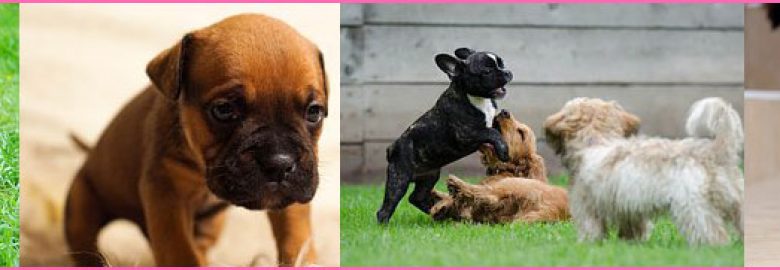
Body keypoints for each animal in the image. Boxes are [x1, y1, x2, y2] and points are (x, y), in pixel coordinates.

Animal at [62, 14, 326, 266]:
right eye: (224, 109)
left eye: (314, 112)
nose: (279, 163)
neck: (202, 171)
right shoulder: (166, 192)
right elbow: (179, 251)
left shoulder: (293, 194)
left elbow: (296, 237)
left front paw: (303, 259)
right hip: (81, 202)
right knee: (85, 244)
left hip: (212, 223)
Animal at [376, 48, 512, 224]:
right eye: (487, 71)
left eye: (502, 64)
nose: (507, 71)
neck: (478, 99)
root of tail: (392, 148)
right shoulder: (467, 135)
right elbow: (491, 132)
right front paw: (503, 151)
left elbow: (497, 128)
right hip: (399, 178)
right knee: (387, 207)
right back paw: (385, 225)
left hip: (429, 176)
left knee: (417, 197)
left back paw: (438, 212)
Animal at [430, 110, 568, 223]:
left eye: (521, 133)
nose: (504, 111)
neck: (509, 169)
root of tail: (554, 210)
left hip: (512, 185)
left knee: (488, 194)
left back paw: (455, 185)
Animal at [544, 96, 744, 245]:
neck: (596, 141)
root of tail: (715, 151)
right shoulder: (630, 209)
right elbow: (633, 229)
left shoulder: (587, 207)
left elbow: (591, 229)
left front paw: (587, 244)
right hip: (738, 205)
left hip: (693, 208)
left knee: (712, 233)